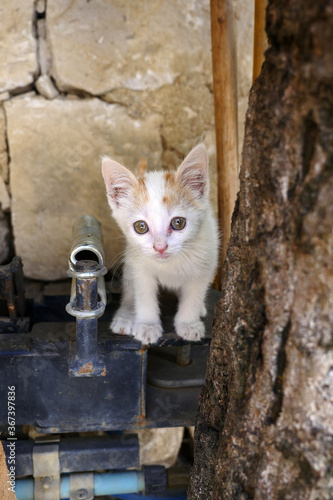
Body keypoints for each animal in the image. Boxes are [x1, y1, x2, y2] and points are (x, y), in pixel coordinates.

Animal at [102, 145, 219, 346]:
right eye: (141, 227)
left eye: (178, 223)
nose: (160, 247)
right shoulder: (139, 267)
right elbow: (144, 296)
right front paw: (147, 325)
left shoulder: (206, 260)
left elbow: (194, 295)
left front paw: (188, 323)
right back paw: (125, 316)